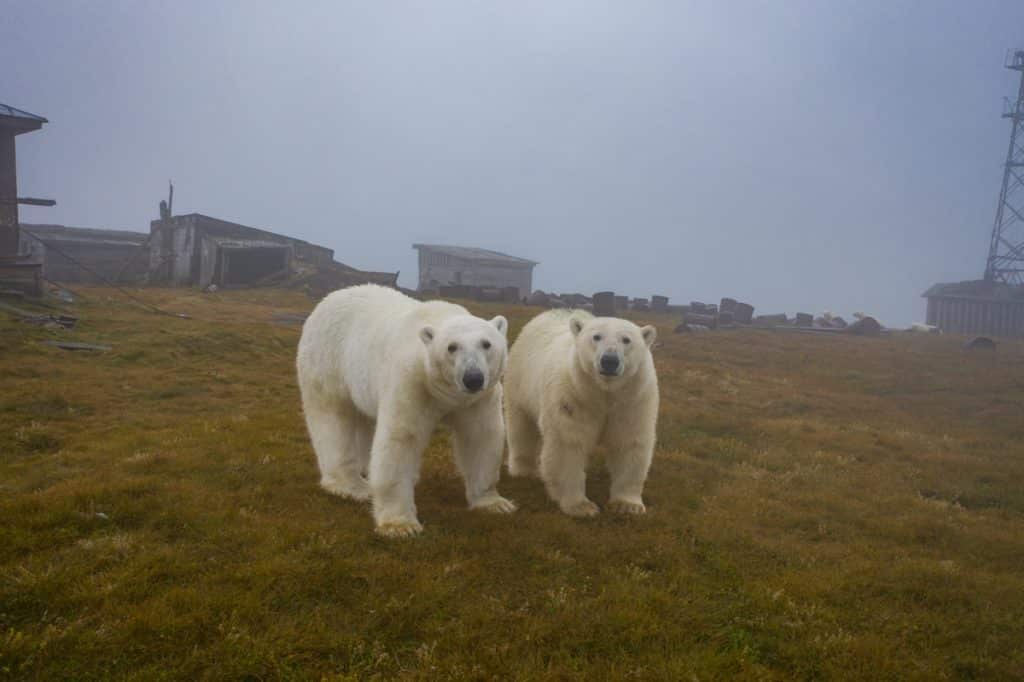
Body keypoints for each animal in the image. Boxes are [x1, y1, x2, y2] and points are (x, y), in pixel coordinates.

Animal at [299, 284, 520, 532]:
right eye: (451, 347)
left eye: (486, 343)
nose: (473, 378)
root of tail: (330, 297)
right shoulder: (412, 382)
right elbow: (401, 438)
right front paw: (400, 524)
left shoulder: (477, 399)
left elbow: (481, 437)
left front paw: (495, 503)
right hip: (327, 360)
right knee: (333, 419)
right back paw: (352, 485)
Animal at [505, 309, 663, 516]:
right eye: (596, 337)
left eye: (626, 340)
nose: (609, 360)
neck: (603, 392)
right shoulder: (573, 395)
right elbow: (568, 443)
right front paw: (581, 506)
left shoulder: (633, 399)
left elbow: (629, 442)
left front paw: (628, 505)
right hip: (520, 380)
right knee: (522, 428)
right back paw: (524, 470)